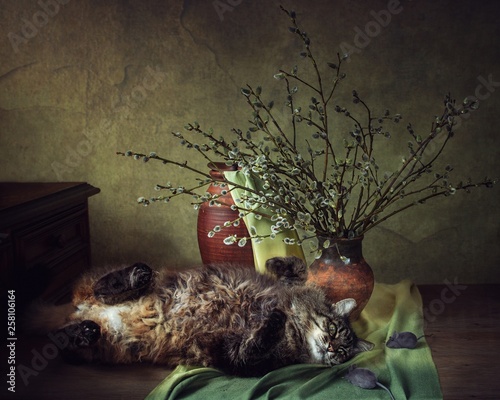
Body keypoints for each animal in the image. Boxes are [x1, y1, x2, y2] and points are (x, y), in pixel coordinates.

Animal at [31, 256, 374, 376]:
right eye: (332, 328)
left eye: (343, 352)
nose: (330, 347)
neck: (294, 330)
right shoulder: (286, 290)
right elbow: (298, 269)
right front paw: (278, 263)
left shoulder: (238, 357)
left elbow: (256, 341)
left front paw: (273, 320)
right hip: (132, 286)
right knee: (104, 287)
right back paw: (133, 277)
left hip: (108, 344)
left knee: (61, 342)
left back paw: (83, 331)